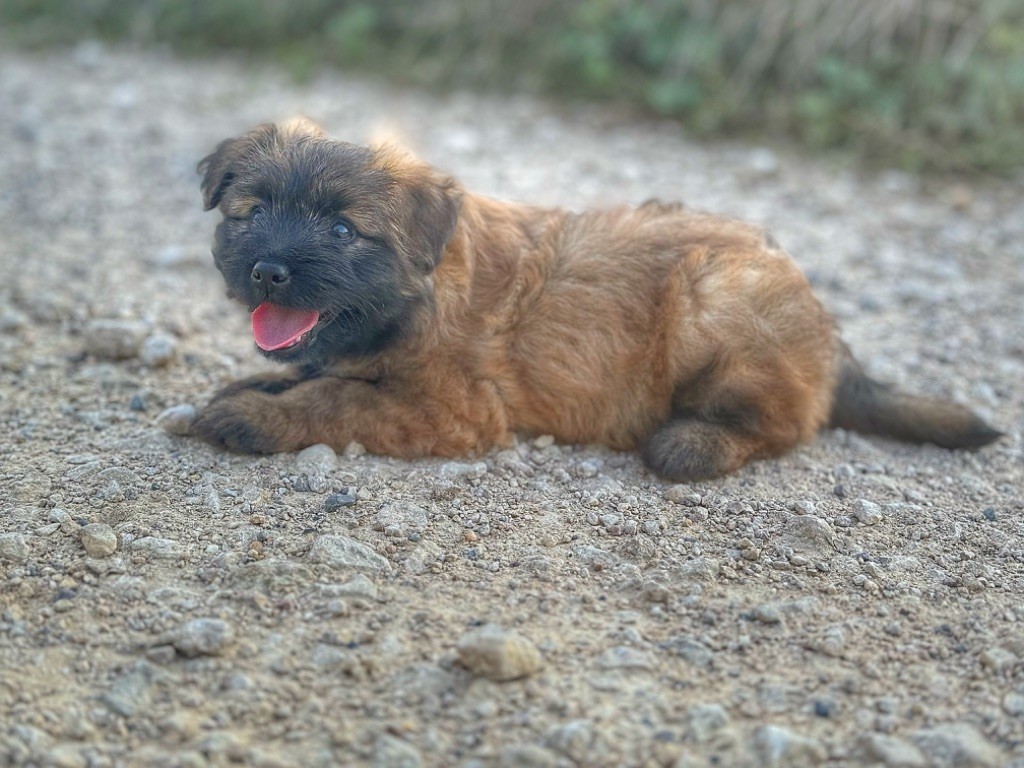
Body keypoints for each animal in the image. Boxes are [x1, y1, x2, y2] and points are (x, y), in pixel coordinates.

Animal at [190, 118, 1001, 481]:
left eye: (341, 229)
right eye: (252, 212)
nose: (267, 272)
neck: (419, 294)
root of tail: (829, 332)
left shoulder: (454, 411)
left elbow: (335, 399)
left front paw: (255, 415)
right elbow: (316, 371)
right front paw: (248, 386)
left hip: (713, 294)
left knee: (789, 420)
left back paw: (693, 442)